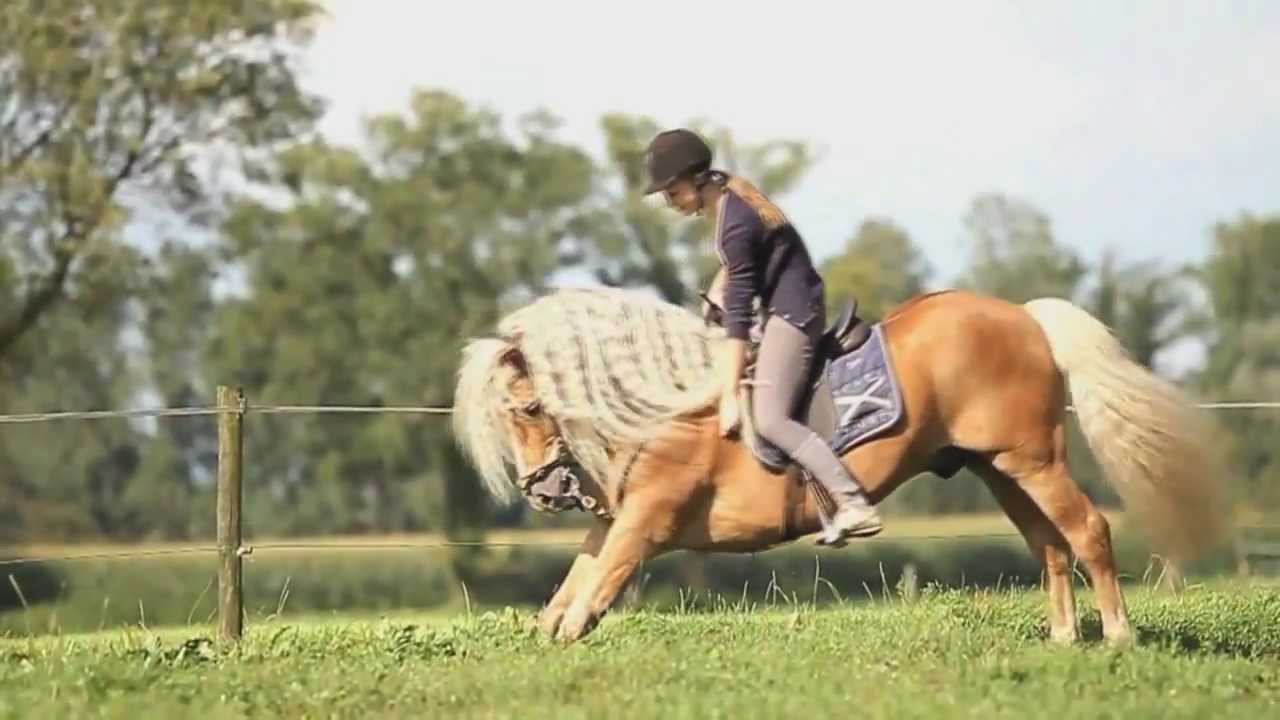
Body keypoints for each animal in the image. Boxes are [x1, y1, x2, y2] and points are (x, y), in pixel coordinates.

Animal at [451, 286, 1225, 645]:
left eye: (528, 408)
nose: (544, 492)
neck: (670, 407)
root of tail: (1024, 316)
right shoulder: (613, 521)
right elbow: (567, 592)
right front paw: (540, 638)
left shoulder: (645, 522)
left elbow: (589, 597)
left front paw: (565, 641)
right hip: (999, 469)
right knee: (1050, 547)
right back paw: (1065, 639)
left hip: (1032, 461)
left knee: (1088, 531)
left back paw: (1119, 636)